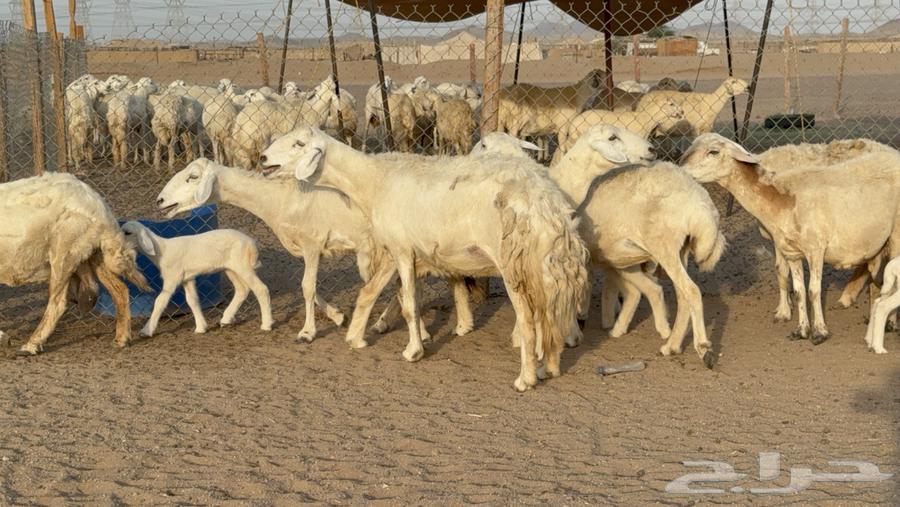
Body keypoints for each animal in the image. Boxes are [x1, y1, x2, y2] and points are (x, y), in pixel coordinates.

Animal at [0, 172, 148, 355]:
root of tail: (100, 207)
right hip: (93, 255)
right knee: (119, 290)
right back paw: (121, 339)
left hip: (63, 253)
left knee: (58, 303)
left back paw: (31, 345)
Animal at [121, 221, 273, 337]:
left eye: (127, 232)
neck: (162, 251)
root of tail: (252, 243)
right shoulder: (187, 278)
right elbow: (192, 300)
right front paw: (201, 327)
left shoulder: (172, 277)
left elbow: (160, 301)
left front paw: (146, 331)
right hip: (231, 268)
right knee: (242, 290)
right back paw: (226, 319)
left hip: (242, 265)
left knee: (261, 289)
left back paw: (266, 324)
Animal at [260, 127, 591, 391]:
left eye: (299, 143)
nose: (262, 159)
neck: (374, 182)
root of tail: (545, 202)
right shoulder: (405, 250)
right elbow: (380, 293)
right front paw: (360, 336)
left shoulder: (402, 248)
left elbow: (408, 305)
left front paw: (413, 351)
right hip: (539, 264)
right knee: (548, 313)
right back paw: (548, 367)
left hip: (512, 263)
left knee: (527, 320)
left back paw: (526, 378)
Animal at [680, 133, 900, 343]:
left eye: (713, 152)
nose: (682, 171)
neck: (781, 199)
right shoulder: (791, 251)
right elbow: (800, 290)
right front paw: (801, 330)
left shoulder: (815, 249)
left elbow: (813, 291)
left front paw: (819, 332)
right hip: (876, 239)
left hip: (896, 235)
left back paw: (890, 323)